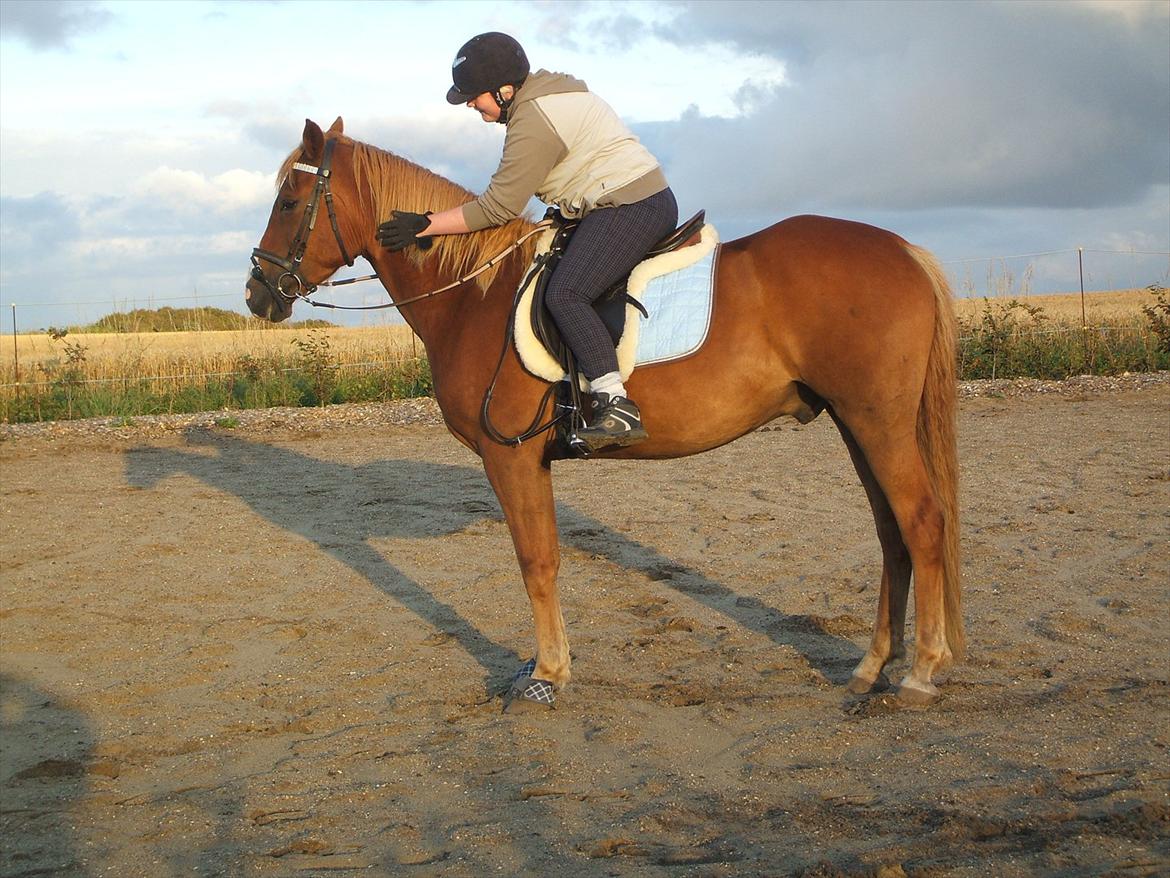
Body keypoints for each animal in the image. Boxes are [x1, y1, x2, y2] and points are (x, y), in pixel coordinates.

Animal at [244, 118, 959, 707]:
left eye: (288, 202)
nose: (257, 293)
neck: (475, 296)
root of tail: (904, 251)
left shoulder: (510, 457)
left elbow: (536, 563)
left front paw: (545, 675)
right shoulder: (532, 461)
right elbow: (548, 558)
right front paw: (550, 665)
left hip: (876, 421)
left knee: (921, 523)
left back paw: (921, 672)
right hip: (855, 422)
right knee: (892, 533)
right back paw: (872, 667)